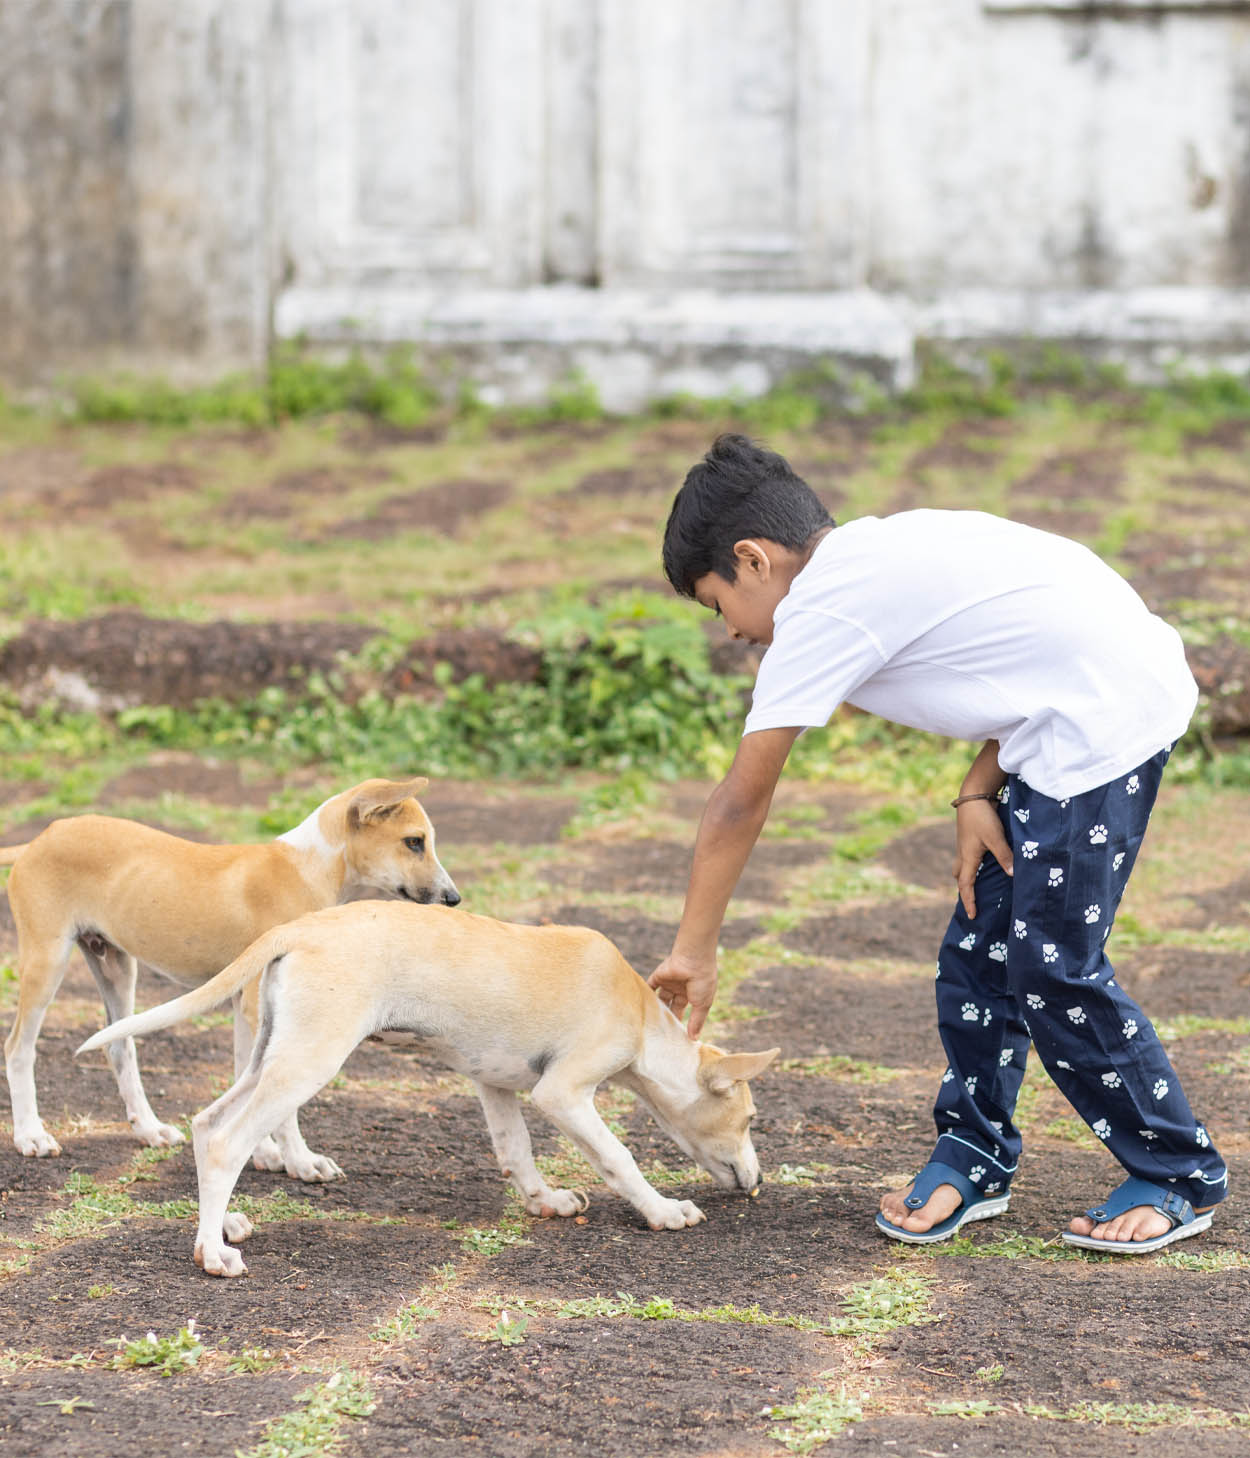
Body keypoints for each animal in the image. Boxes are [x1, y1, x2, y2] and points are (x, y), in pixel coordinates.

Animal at [4, 775, 455, 1172]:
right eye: (414, 842)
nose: (454, 899)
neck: (308, 867)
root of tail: (38, 839)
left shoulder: (249, 1004)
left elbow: (245, 1079)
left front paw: (265, 1153)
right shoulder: (260, 1006)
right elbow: (277, 1103)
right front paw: (299, 1160)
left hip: (115, 965)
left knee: (119, 1046)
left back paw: (148, 1128)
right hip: (47, 960)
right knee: (18, 1048)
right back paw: (30, 1135)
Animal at [78, 898, 775, 1277]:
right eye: (749, 1120)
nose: (759, 1181)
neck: (639, 1013)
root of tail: (300, 929)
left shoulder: (496, 1084)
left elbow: (516, 1151)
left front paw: (545, 1201)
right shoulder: (563, 1093)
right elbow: (619, 1156)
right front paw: (663, 1212)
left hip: (270, 1054)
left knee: (207, 1124)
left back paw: (224, 1226)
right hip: (309, 1060)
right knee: (228, 1141)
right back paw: (212, 1254)